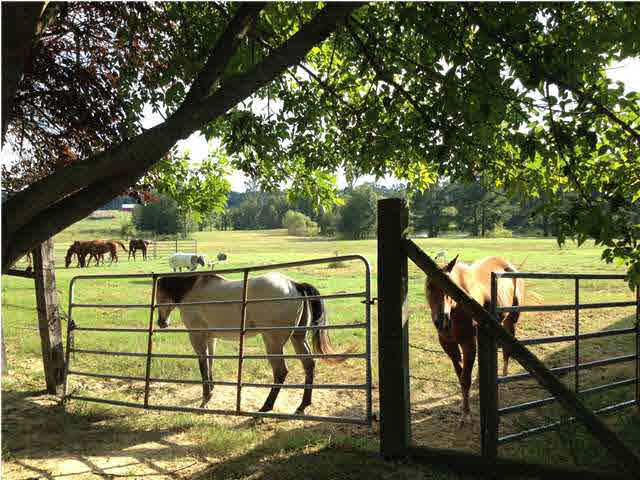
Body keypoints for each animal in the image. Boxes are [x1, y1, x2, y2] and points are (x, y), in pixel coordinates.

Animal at [155, 272, 354, 413]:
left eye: (158, 296)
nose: (162, 323)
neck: (194, 290)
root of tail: (294, 284)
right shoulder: (210, 337)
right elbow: (210, 362)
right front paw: (210, 391)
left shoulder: (196, 336)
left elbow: (203, 364)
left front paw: (205, 399)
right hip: (297, 338)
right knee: (309, 365)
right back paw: (302, 405)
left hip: (272, 342)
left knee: (281, 372)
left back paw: (266, 406)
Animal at [425, 255, 526, 425]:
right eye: (429, 286)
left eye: (449, 288)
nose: (442, 321)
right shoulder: (448, 344)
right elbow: (460, 375)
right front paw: (462, 406)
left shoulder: (468, 343)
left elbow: (465, 379)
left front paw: (466, 414)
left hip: (511, 319)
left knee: (507, 348)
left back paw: (504, 376)